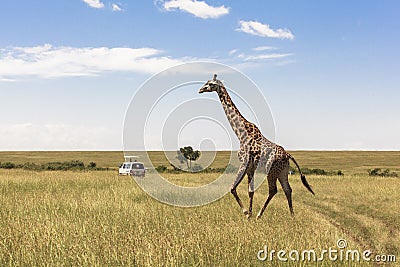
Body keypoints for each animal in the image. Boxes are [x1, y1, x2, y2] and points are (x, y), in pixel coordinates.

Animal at [198, 74, 314, 220]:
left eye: (210, 84)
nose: (200, 90)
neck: (240, 134)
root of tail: (288, 155)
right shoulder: (251, 167)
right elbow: (250, 190)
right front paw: (250, 214)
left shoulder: (244, 163)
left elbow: (233, 188)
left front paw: (247, 213)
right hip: (283, 171)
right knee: (287, 189)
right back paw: (292, 217)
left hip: (272, 170)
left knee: (273, 190)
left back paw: (260, 215)